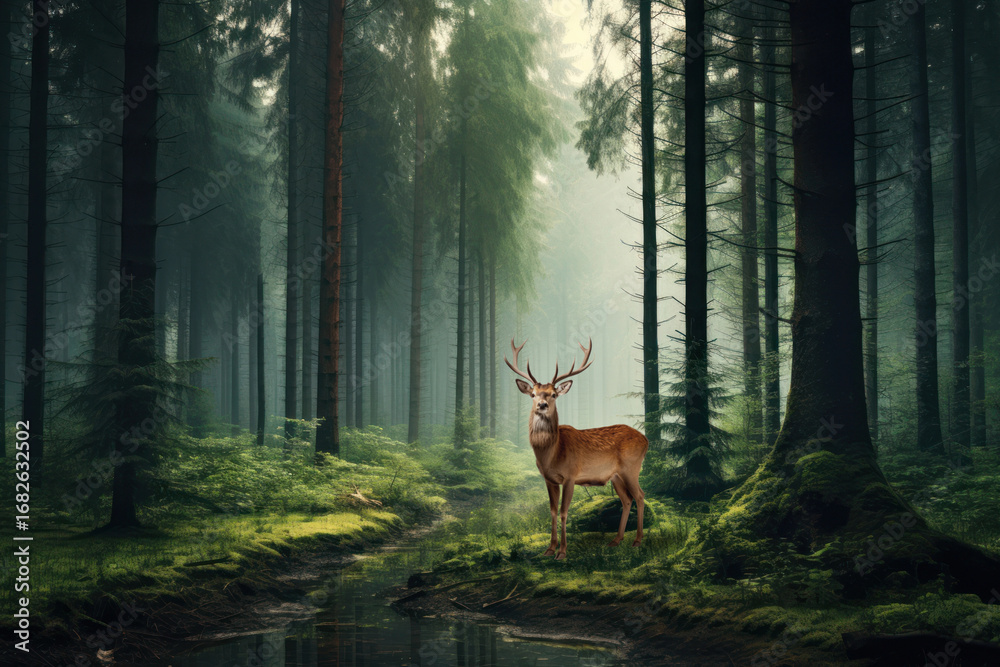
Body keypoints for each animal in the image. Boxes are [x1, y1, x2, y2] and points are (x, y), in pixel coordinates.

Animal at [505, 338, 648, 560]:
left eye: (554, 394)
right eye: (532, 394)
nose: (542, 405)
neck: (551, 455)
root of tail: (646, 439)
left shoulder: (571, 476)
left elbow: (564, 512)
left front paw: (562, 552)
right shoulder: (549, 479)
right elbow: (552, 511)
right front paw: (549, 549)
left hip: (632, 468)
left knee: (640, 496)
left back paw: (637, 540)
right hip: (616, 475)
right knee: (626, 499)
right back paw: (616, 540)